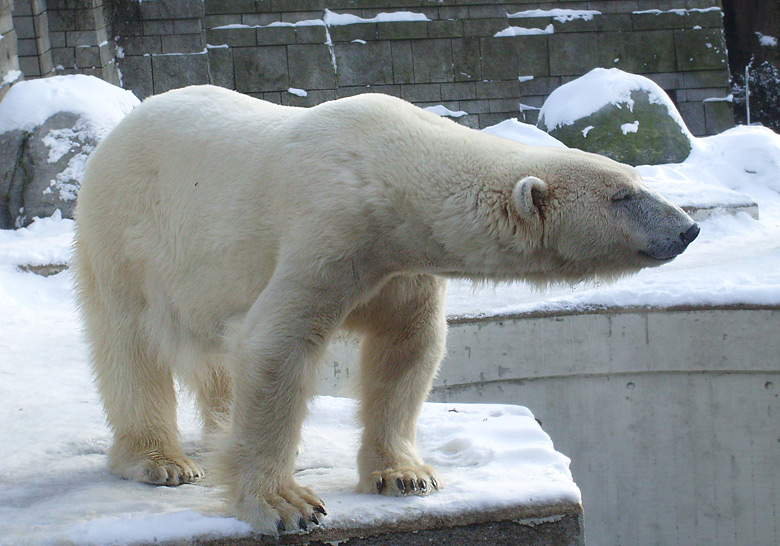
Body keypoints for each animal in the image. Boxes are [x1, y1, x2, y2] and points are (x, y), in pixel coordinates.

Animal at [71, 85, 696, 532]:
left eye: (636, 179)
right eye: (624, 196)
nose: (688, 228)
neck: (387, 169)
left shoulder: (401, 265)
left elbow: (408, 347)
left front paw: (405, 475)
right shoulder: (330, 230)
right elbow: (277, 346)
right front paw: (285, 504)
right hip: (125, 236)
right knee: (130, 347)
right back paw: (162, 461)